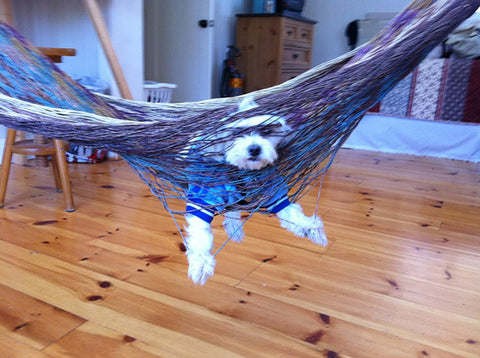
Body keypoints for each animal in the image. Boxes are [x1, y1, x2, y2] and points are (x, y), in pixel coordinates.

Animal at [184, 96, 326, 284]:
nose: (254, 148)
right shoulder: (206, 196)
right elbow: (201, 232)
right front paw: (201, 262)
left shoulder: (272, 189)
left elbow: (290, 212)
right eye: (237, 133)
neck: (243, 171)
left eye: (266, 131)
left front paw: (309, 226)